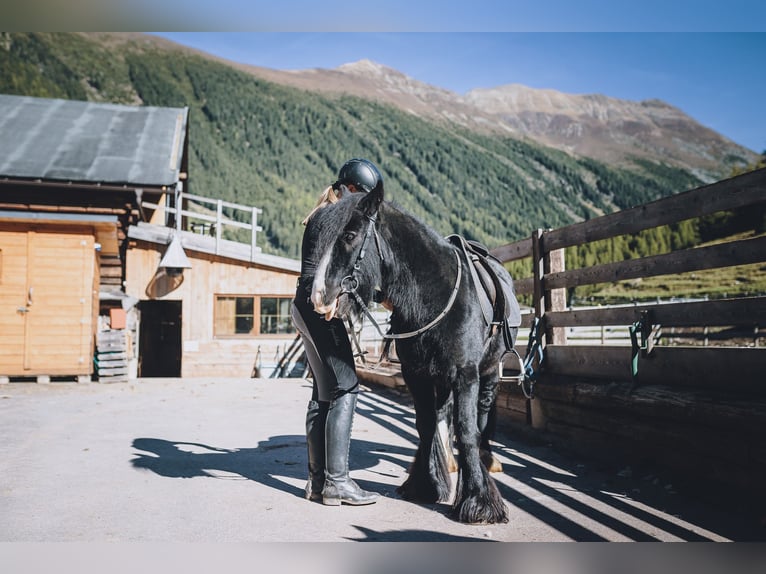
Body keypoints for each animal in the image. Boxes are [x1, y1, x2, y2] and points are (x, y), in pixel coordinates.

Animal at [306, 184, 520, 524]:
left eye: (350, 235)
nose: (318, 296)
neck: (437, 298)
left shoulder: (466, 374)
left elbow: (467, 430)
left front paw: (479, 502)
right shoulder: (416, 374)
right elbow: (426, 425)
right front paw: (424, 484)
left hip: (489, 372)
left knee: (484, 413)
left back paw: (487, 460)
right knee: (443, 414)